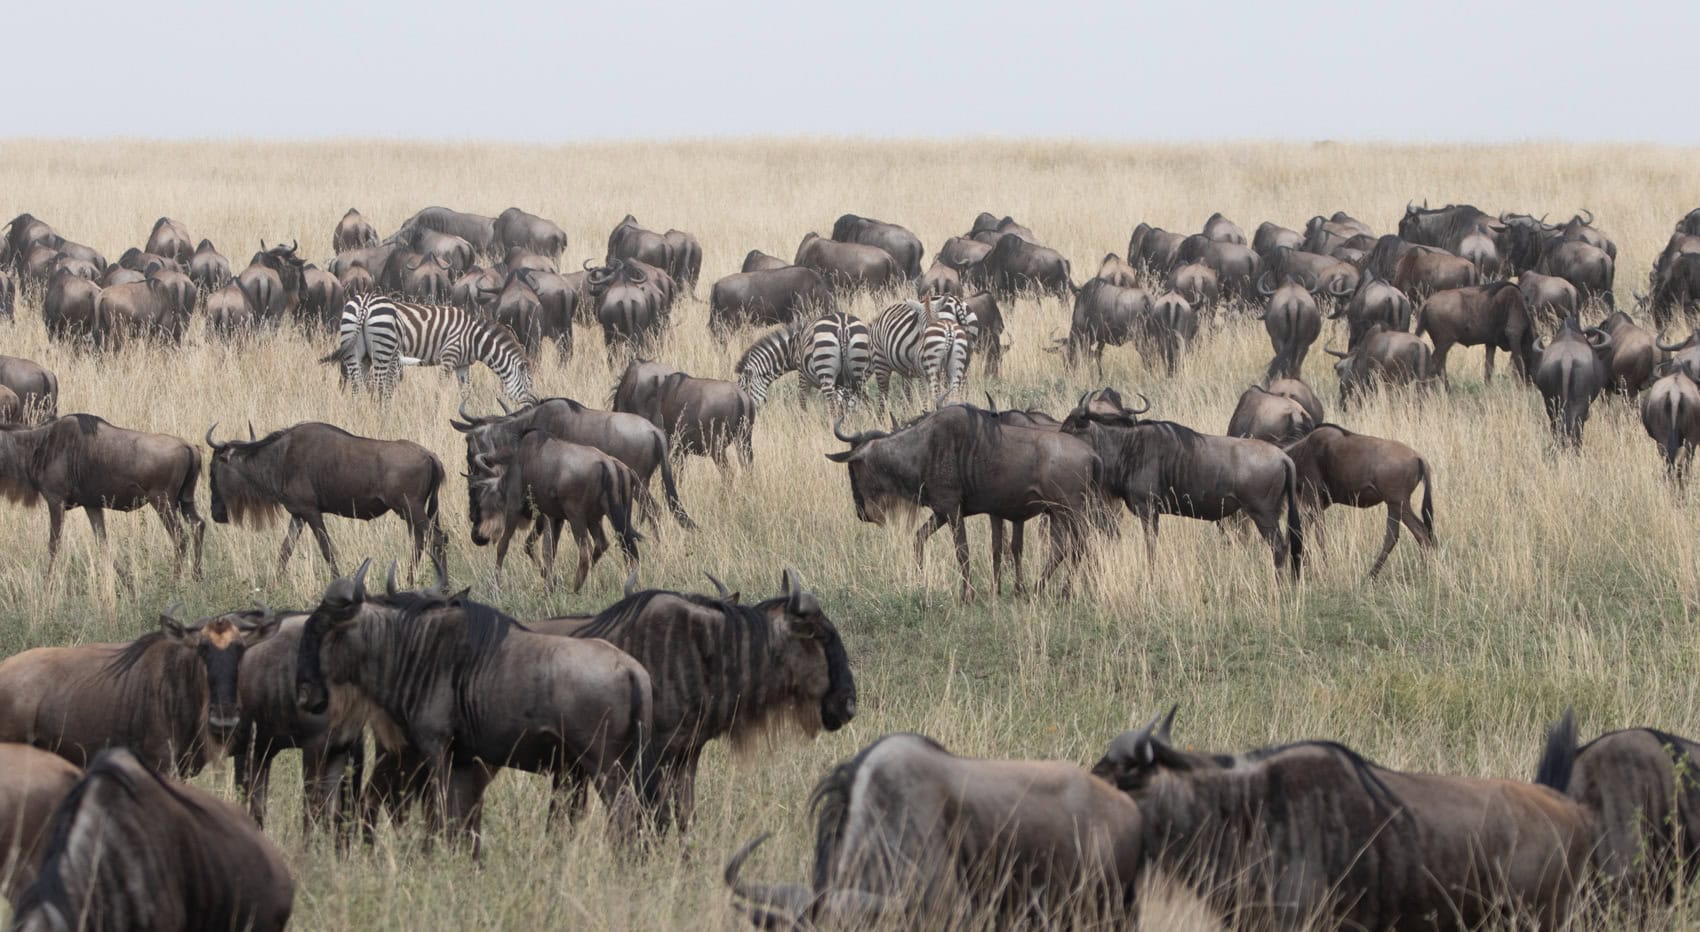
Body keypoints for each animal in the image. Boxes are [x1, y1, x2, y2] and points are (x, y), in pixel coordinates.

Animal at [331, 292, 537, 403]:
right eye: (528, 384)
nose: (532, 405)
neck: (474, 338)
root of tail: (364, 303)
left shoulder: (462, 364)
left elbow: (465, 392)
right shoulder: (449, 356)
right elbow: (441, 390)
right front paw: (438, 412)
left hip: (357, 348)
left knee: (358, 384)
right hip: (380, 348)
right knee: (375, 385)